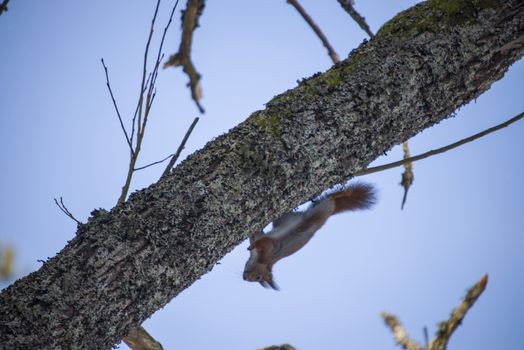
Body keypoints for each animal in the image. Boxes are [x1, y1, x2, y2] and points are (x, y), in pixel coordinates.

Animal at [244, 182, 374, 288]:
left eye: (258, 277)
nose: (244, 278)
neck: (261, 261)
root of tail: (330, 212)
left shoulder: (270, 249)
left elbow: (264, 242)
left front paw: (253, 245)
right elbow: (256, 233)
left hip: (321, 210)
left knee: (332, 199)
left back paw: (345, 193)